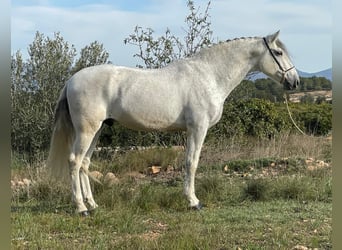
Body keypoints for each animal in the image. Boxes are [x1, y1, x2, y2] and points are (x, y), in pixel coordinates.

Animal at [47, 31, 300, 215]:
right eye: (278, 52)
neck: (209, 75)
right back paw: (81, 208)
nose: (295, 81)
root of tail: (71, 80)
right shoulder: (197, 128)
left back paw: (93, 205)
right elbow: (191, 163)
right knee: (74, 161)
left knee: (84, 164)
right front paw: (193, 202)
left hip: (97, 130)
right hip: (86, 131)